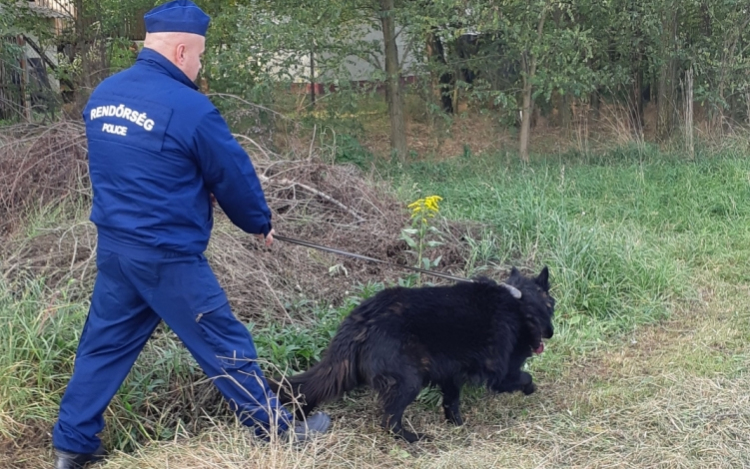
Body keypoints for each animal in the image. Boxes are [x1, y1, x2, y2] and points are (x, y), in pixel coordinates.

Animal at [274, 266, 556, 440]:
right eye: (551, 308)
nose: (551, 333)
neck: (520, 304)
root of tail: (362, 318)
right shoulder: (500, 374)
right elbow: (525, 377)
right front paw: (530, 389)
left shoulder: (451, 374)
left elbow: (451, 402)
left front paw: (456, 425)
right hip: (408, 380)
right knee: (389, 421)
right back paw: (413, 438)